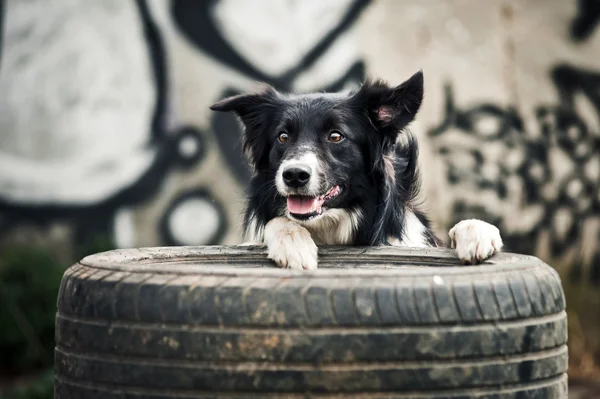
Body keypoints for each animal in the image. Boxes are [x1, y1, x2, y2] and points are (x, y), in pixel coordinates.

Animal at [211, 72, 502, 272]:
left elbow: (466, 226)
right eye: (282, 137)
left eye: (336, 136)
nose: (293, 175)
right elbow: (279, 221)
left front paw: (477, 233)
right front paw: (294, 244)